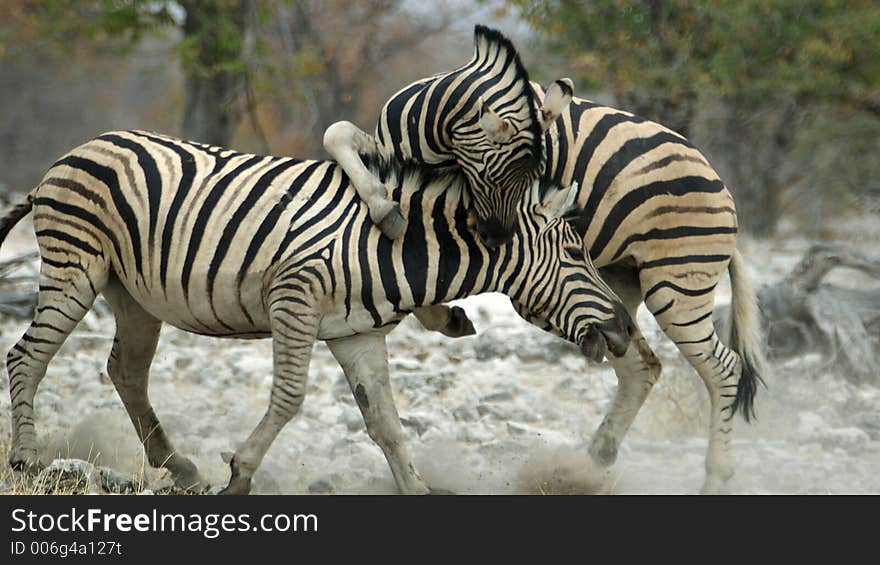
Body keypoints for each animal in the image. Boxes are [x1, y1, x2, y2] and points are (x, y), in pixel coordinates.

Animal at [0, 129, 632, 494]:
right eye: (576, 252)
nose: (627, 329)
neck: (398, 246)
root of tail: (71, 154)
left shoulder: (359, 334)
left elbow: (387, 424)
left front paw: (416, 490)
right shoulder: (294, 298)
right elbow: (289, 398)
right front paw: (241, 475)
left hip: (131, 293)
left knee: (126, 370)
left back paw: (177, 466)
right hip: (75, 265)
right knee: (27, 356)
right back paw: (27, 459)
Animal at [324, 24, 576, 245]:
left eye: (533, 179)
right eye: (490, 177)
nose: (500, 239)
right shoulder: (386, 149)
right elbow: (336, 133)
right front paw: (383, 209)